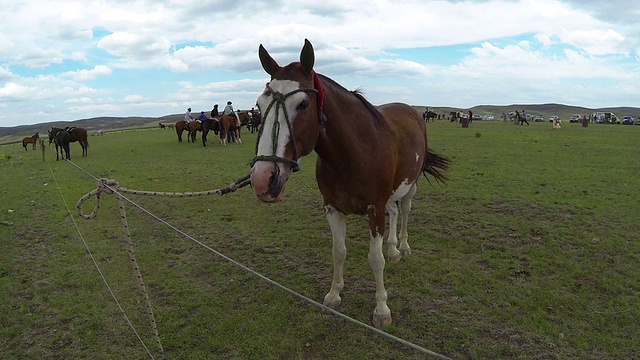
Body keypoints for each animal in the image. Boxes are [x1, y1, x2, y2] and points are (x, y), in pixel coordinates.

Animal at [250, 39, 450, 330]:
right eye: (259, 104)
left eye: (303, 104)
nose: (263, 177)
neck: (353, 155)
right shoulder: (332, 208)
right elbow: (338, 252)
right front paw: (334, 295)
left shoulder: (374, 210)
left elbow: (375, 260)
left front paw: (381, 309)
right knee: (394, 211)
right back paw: (393, 249)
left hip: (410, 186)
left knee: (404, 211)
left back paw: (402, 247)